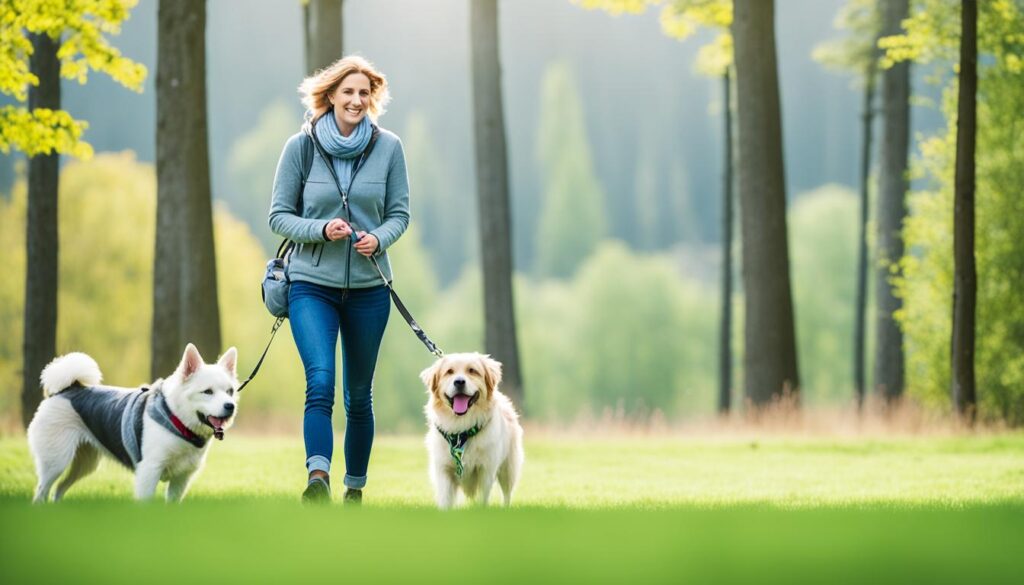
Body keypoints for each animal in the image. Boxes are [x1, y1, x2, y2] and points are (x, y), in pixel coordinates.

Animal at [28, 344, 239, 504]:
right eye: (207, 392)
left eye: (230, 391)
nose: (230, 406)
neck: (176, 421)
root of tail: (67, 389)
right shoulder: (149, 473)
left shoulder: (181, 479)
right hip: (56, 461)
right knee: (41, 492)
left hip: (84, 463)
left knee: (58, 489)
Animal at [419, 352, 524, 508]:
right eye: (449, 372)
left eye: (472, 371)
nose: (459, 382)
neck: (461, 430)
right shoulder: (443, 470)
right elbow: (445, 500)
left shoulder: (485, 470)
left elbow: (482, 499)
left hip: (508, 469)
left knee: (507, 494)